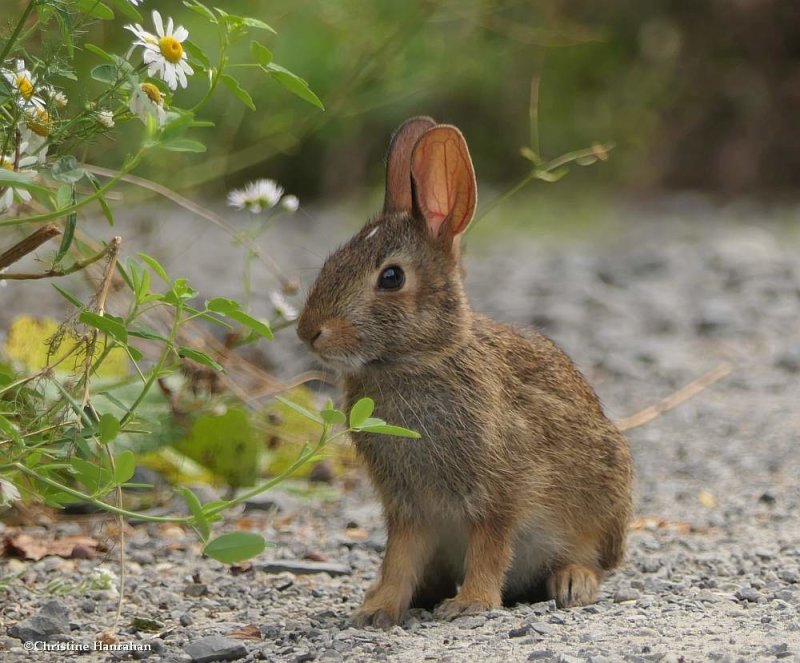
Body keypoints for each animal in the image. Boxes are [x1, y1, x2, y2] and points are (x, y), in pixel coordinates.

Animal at [296, 116, 636, 632]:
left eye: (391, 277)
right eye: (331, 262)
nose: (309, 332)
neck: (420, 359)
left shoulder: (500, 490)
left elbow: (490, 546)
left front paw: (470, 604)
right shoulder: (409, 507)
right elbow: (399, 558)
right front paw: (377, 610)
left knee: (593, 560)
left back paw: (572, 582)